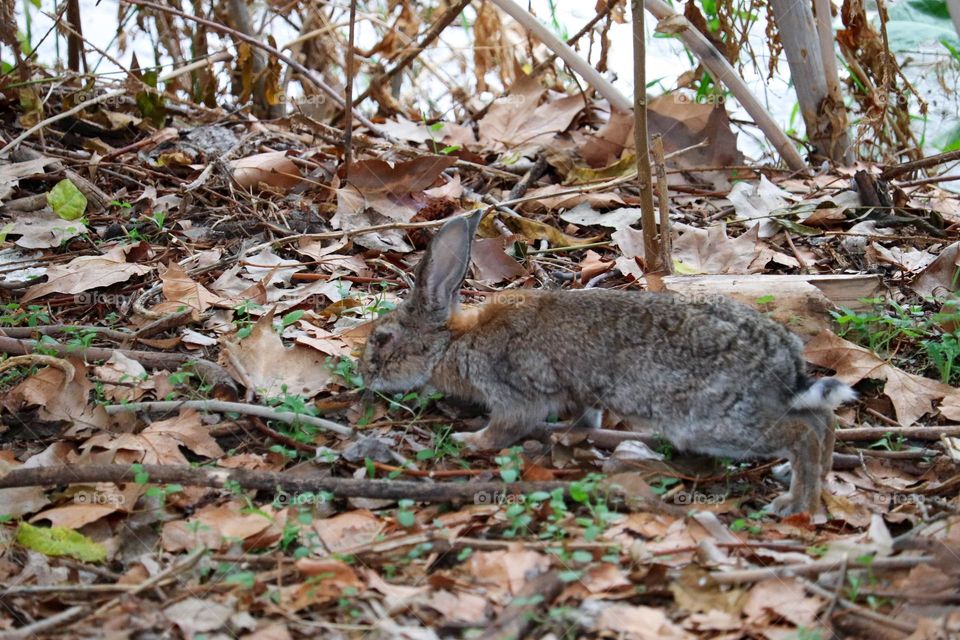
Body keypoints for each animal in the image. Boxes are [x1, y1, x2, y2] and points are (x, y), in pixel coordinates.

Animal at [360, 215, 856, 516]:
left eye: (382, 339)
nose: (365, 377)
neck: (454, 340)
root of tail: (785, 362)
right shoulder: (581, 395)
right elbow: (586, 414)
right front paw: (572, 434)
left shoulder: (513, 391)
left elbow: (506, 426)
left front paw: (471, 440)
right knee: (823, 418)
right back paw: (810, 480)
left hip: (715, 423)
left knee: (801, 432)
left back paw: (796, 504)